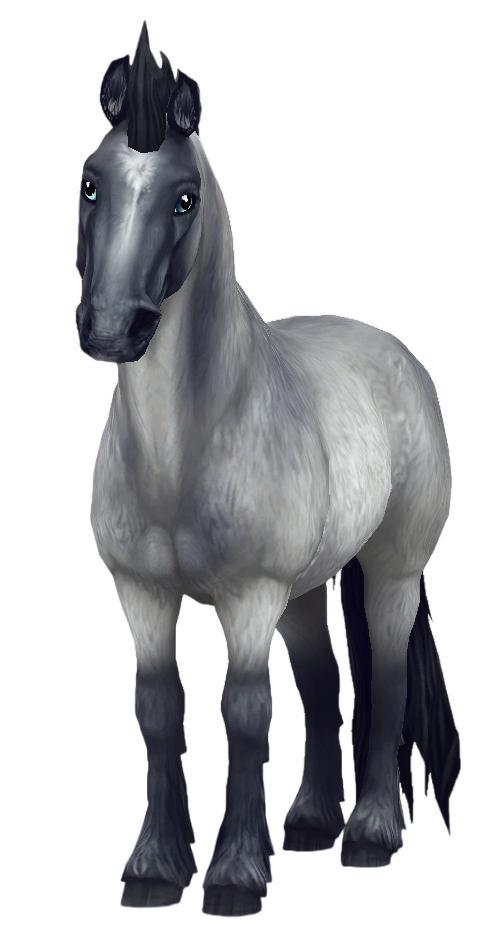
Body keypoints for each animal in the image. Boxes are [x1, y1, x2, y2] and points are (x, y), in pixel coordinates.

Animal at [75, 21, 460, 916]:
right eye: (90, 186)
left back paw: (368, 835)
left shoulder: (249, 595)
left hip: (390, 571)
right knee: (320, 686)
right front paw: (154, 868)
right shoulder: (141, 594)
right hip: (302, 593)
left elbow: (246, 714)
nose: (111, 329)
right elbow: (160, 712)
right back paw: (314, 824)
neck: (183, 448)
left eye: (184, 198)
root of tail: (391, 351)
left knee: (387, 682)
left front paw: (233, 877)